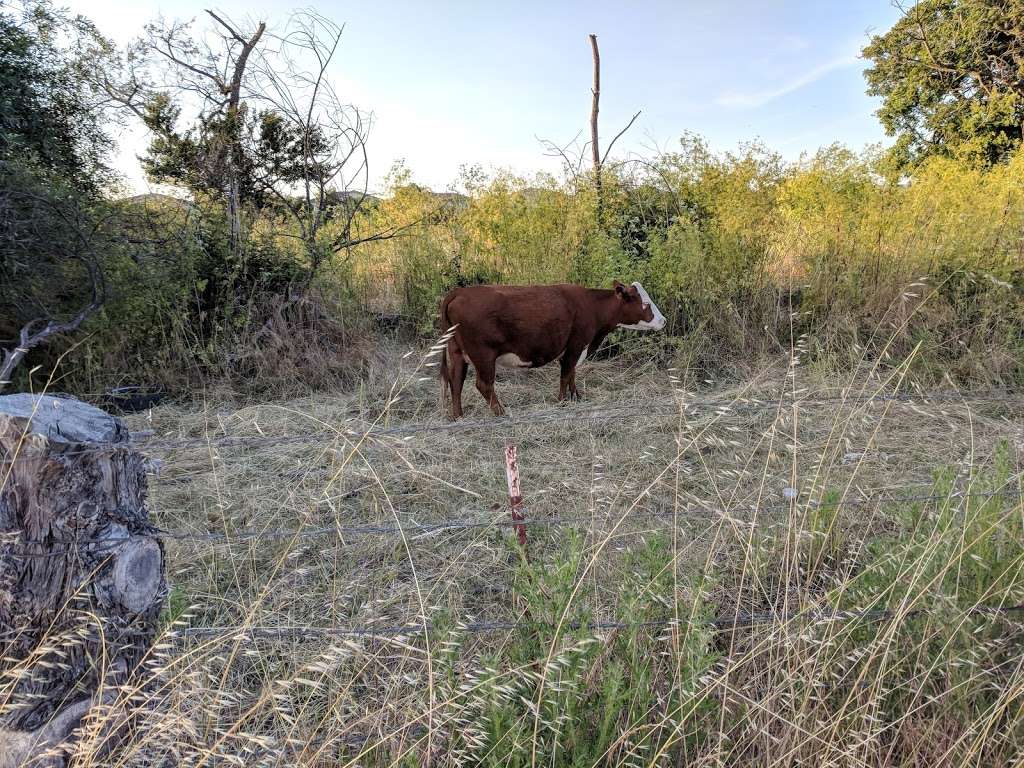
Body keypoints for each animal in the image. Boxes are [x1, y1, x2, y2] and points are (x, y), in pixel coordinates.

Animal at [438, 280, 663, 417]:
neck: (591, 306)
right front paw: (562, 402)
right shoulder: (575, 345)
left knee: (456, 381)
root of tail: (459, 292)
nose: (663, 320)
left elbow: (571, 374)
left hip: (457, 351)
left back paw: (458, 416)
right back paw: (501, 413)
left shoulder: (574, 349)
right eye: (645, 304)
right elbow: (566, 374)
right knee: (483, 385)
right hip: (483, 354)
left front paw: (577, 397)